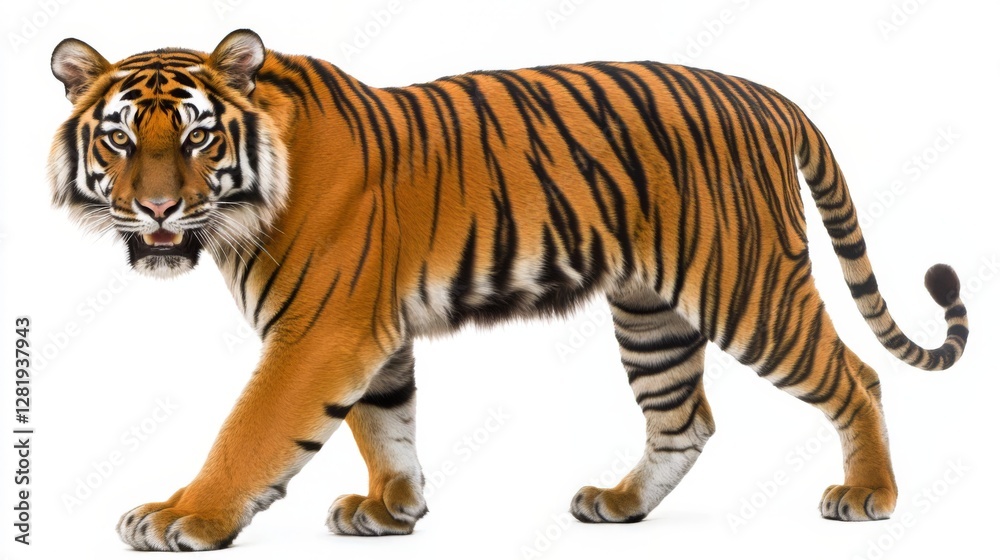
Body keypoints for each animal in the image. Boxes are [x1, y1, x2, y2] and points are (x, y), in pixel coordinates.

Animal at [48, 29, 969, 551]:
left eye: (196, 138)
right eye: (120, 139)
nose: (157, 207)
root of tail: (772, 98)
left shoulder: (320, 330)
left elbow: (252, 431)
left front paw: (185, 517)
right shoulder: (369, 331)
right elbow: (386, 422)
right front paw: (393, 509)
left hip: (749, 288)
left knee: (857, 377)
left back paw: (869, 495)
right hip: (652, 312)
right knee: (686, 419)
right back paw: (619, 504)